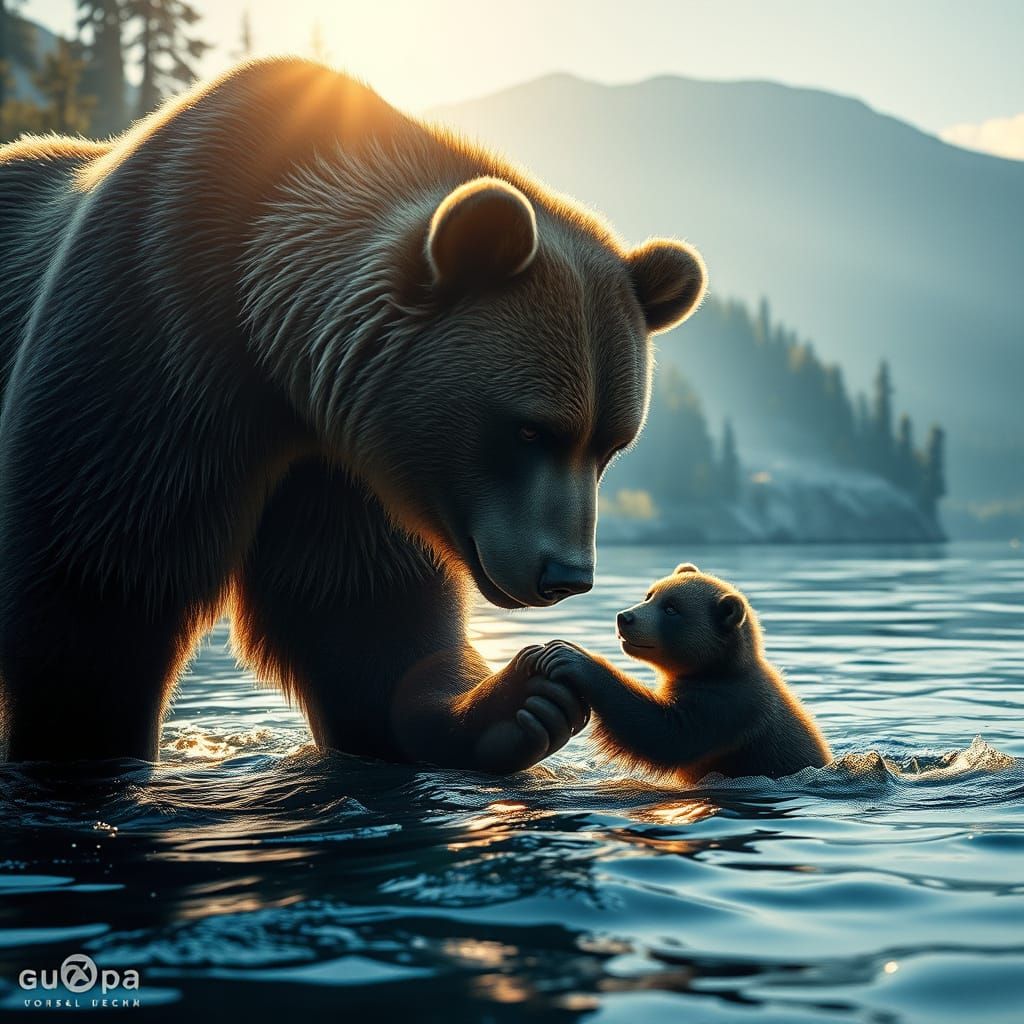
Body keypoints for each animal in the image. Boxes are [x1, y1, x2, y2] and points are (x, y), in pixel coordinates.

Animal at [0, 58, 706, 770]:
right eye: (529, 429)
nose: (566, 573)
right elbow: (102, 582)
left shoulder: (347, 462)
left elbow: (364, 613)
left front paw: (523, 705)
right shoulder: (151, 351)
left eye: (610, 445)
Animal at [526, 564, 832, 781]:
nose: (625, 617)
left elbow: (664, 733)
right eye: (650, 594)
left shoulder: (728, 707)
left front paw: (569, 655)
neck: (714, 669)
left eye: (671, 608)